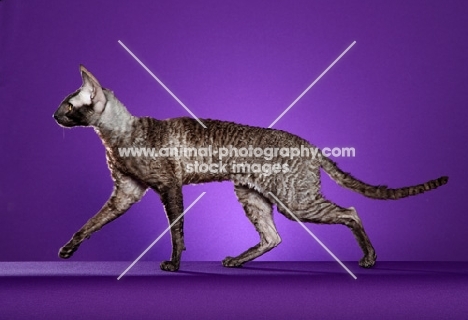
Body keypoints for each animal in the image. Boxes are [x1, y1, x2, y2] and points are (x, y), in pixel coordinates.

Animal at [53, 66, 448, 272]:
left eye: (68, 106)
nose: (53, 115)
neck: (116, 136)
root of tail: (310, 145)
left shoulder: (169, 187)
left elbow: (177, 232)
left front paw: (174, 264)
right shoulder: (125, 193)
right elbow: (90, 223)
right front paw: (69, 250)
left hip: (295, 202)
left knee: (351, 211)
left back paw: (369, 257)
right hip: (252, 195)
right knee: (273, 237)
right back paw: (238, 260)